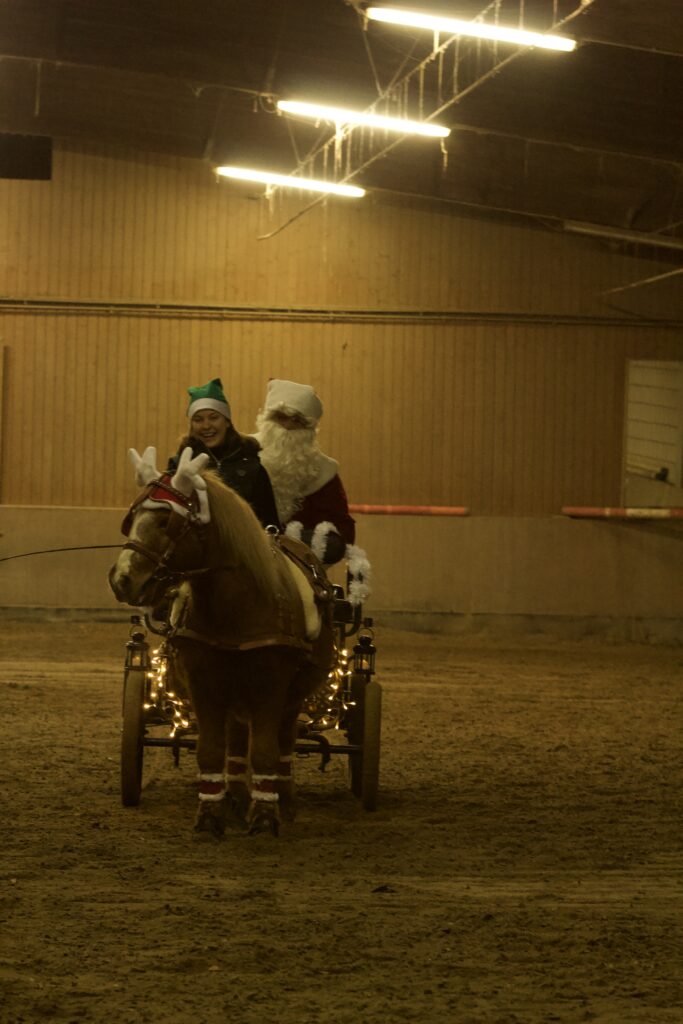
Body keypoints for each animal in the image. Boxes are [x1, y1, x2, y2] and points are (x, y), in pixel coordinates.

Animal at [109, 446, 336, 837]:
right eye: (132, 517)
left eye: (166, 522)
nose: (122, 579)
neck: (237, 606)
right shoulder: (205, 682)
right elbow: (212, 748)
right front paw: (211, 813)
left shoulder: (270, 684)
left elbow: (265, 751)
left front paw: (265, 815)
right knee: (237, 740)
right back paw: (237, 795)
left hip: (294, 693)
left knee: (284, 741)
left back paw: (284, 799)